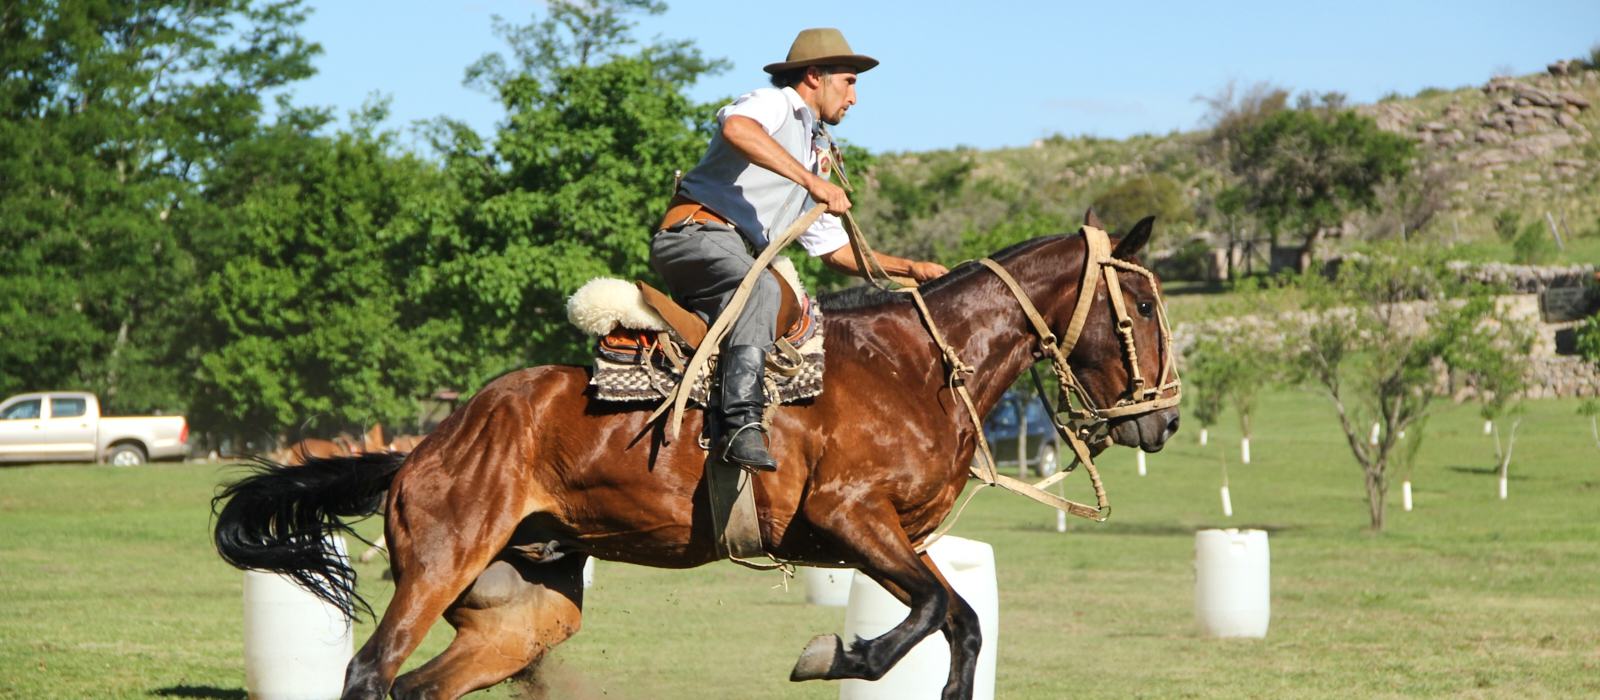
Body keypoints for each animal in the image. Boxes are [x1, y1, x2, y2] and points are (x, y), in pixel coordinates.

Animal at [212, 218, 1177, 700]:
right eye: (1141, 306)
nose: (1163, 422)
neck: (918, 366)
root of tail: (423, 448)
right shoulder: (849, 520)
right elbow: (933, 613)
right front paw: (830, 655)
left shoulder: (888, 538)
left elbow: (962, 621)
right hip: (440, 567)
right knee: (369, 672)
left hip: (521, 614)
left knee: (419, 687)